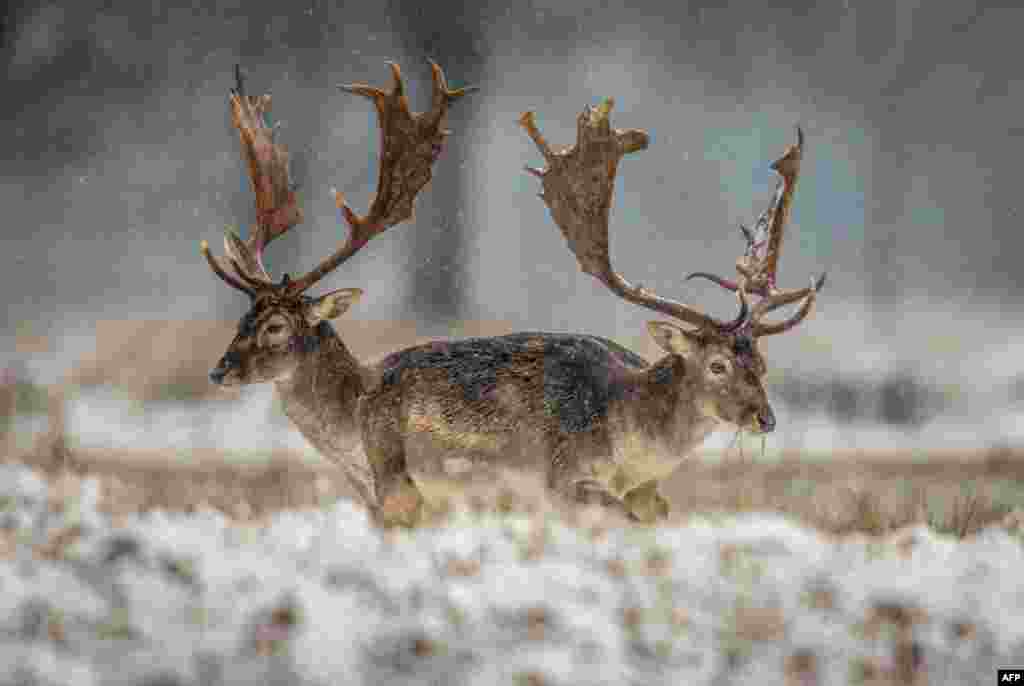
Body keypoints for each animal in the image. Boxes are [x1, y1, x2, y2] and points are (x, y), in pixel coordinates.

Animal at [356, 99, 827, 528]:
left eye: (761, 364)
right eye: (717, 364)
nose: (765, 419)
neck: (629, 446)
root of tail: (367, 382)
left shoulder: (645, 489)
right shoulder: (562, 478)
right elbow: (620, 516)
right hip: (394, 473)